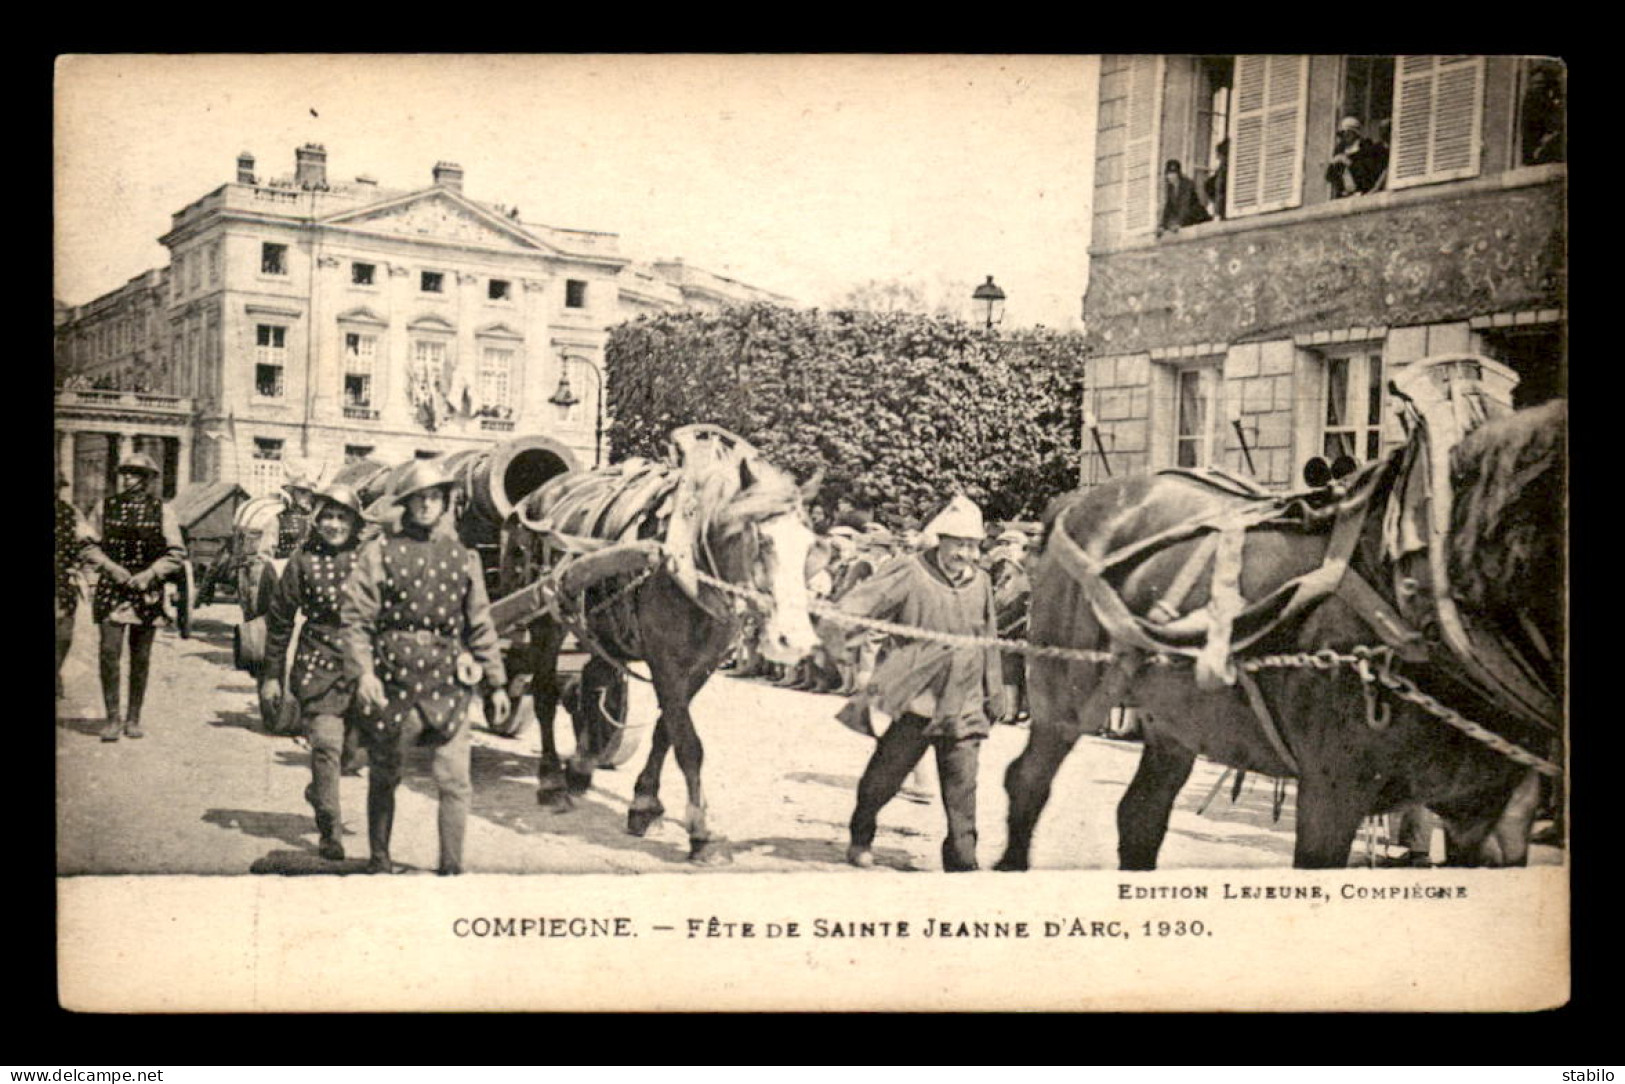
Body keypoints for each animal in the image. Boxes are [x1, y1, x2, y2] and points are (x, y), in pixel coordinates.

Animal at [510, 422, 819, 864]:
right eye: (762, 541)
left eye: (811, 546)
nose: (793, 640)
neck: (688, 558)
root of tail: (541, 493)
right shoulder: (665, 660)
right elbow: (688, 743)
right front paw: (700, 830)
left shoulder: (702, 665)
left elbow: (666, 731)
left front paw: (645, 803)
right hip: (547, 616)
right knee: (546, 695)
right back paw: (552, 781)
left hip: (606, 629)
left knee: (591, 683)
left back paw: (582, 766)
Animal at [994, 377, 1566, 871]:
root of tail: (1076, 502)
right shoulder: (1332, 793)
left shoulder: (1496, 817)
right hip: (1061, 699)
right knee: (1027, 783)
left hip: (1175, 720)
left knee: (1140, 814)